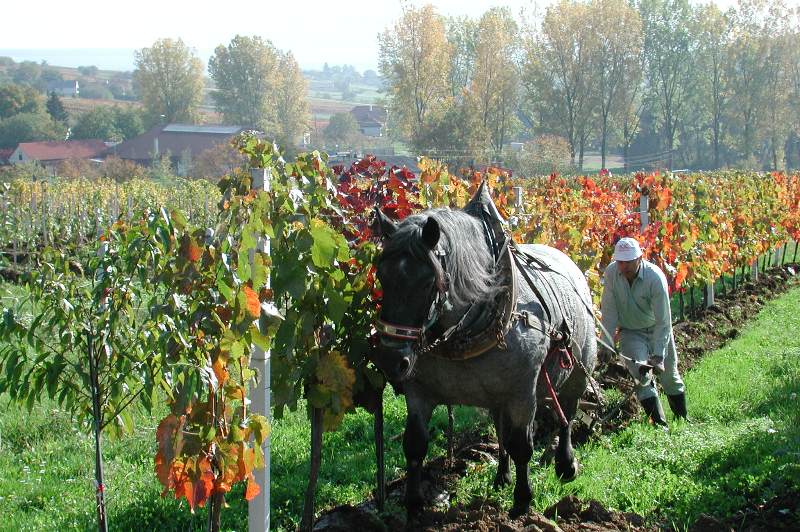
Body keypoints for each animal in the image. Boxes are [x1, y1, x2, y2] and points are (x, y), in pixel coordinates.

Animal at [372, 201, 596, 520]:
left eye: (428, 282)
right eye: (381, 276)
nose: (391, 360)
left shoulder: (522, 393)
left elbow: (522, 446)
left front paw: (522, 502)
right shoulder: (419, 392)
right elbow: (415, 444)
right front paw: (413, 504)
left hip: (577, 371)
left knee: (567, 413)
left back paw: (565, 464)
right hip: (496, 396)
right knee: (501, 430)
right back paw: (502, 475)